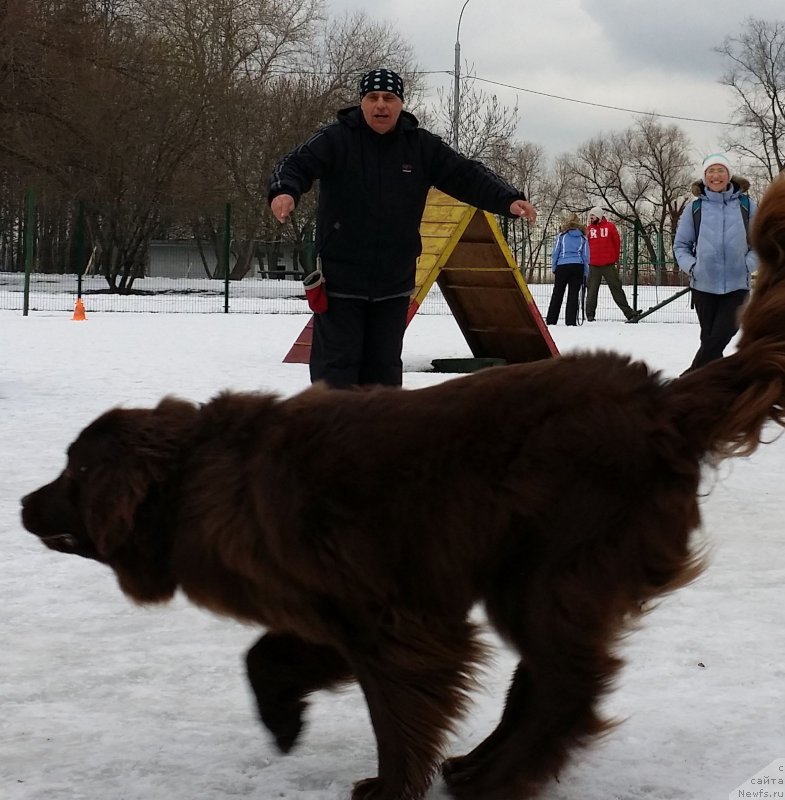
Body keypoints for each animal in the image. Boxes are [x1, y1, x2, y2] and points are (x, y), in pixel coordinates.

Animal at [21, 177, 784, 800]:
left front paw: (387, 788)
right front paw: (283, 721)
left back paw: (498, 778)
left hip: (546, 573)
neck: (201, 476)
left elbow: (395, 714)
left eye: (74, 469)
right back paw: (478, 767)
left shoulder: (394, 616)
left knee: (565, 686)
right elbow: (266, 654)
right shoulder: (326, 605)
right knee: (544, 681)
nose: (24, 503)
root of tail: (659, 400)